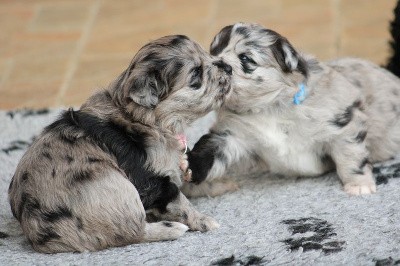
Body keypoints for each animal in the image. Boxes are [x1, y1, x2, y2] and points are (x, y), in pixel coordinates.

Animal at [8, 35, 231, 254]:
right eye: (196, 74)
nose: (228, 67)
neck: (144, 117)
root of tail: (42, 238)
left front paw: (221, 185)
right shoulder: (151, 179)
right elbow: (180, 201)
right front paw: (203, 220)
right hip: (118, 190)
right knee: (133, 231)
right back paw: (171, 228)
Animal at [184, 22, 400, 196]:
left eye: (245, 58)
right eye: (213, 52)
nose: (217, 65)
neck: (267, 108)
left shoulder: (344, 121)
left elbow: (351, 156)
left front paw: (359, 185)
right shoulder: (231, 134)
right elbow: (209, 150)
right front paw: (190, 167)